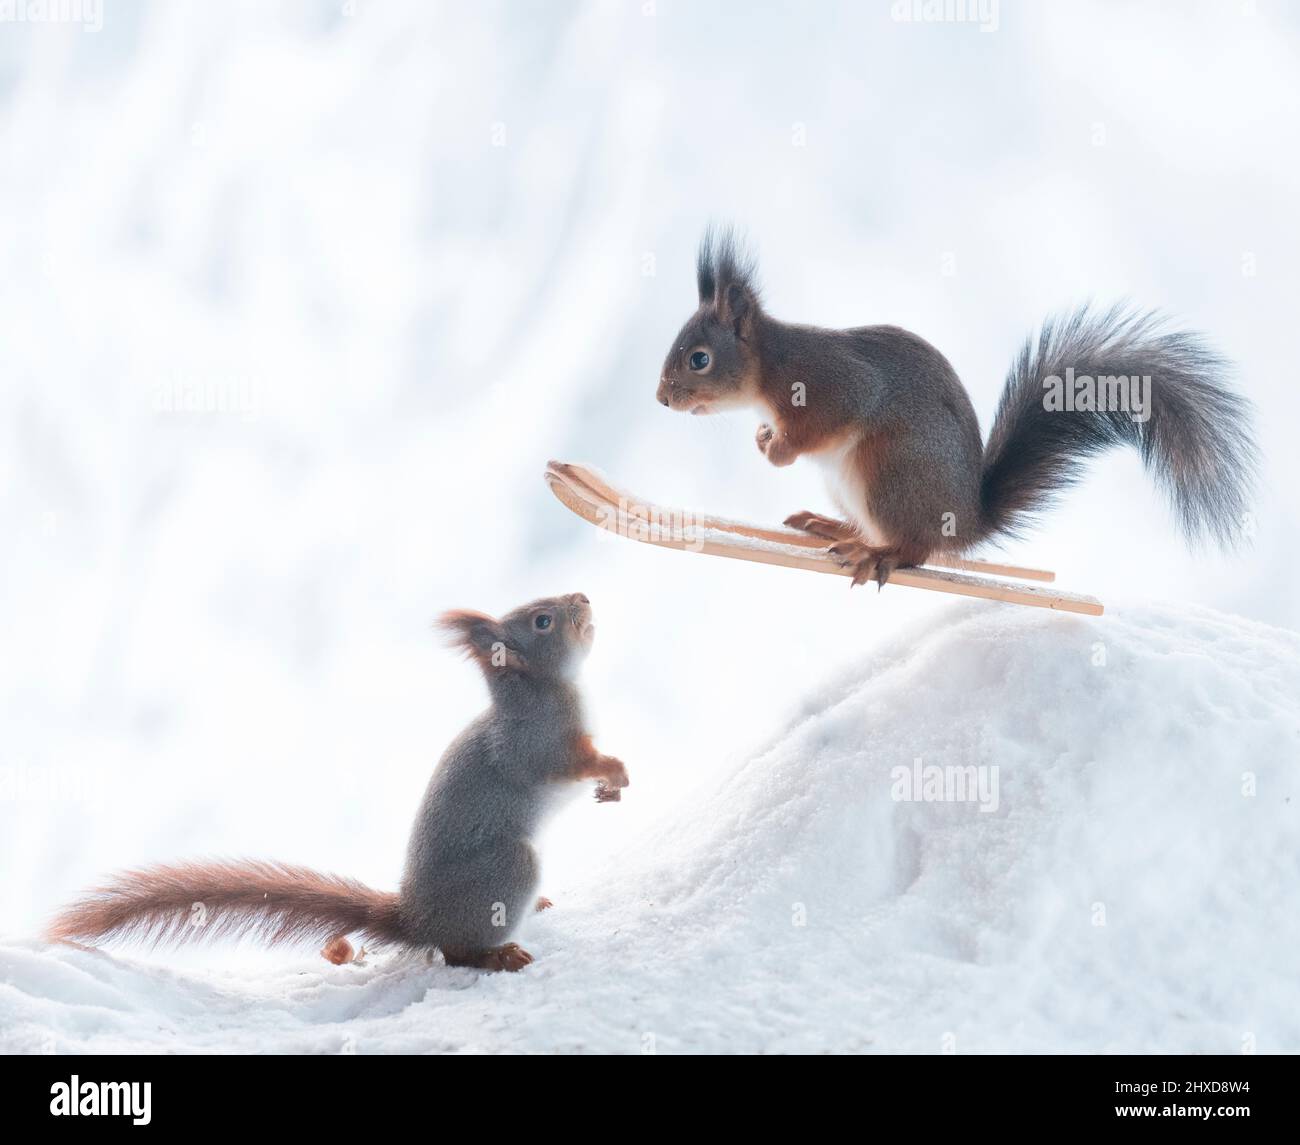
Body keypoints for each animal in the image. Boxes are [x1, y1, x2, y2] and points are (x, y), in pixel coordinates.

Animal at [48, 593, 628, 973]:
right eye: (543, 621)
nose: (582, 596)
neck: (544, 690)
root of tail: (418, 921)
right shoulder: (539, 747)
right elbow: (571, 764)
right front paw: (614, 771)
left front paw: (613, 791)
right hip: (505, 872)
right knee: (455, 953)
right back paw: (499, 954)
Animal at [656, 228, 1258, 586]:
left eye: (700, 359)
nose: (662, 398)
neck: (770, 368)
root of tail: (965, 522)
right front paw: (762, 437)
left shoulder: (832, 385)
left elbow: (823, 423)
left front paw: (775, 449)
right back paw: (832, 528)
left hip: (890, 471)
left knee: (915, 550)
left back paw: (878, 554)